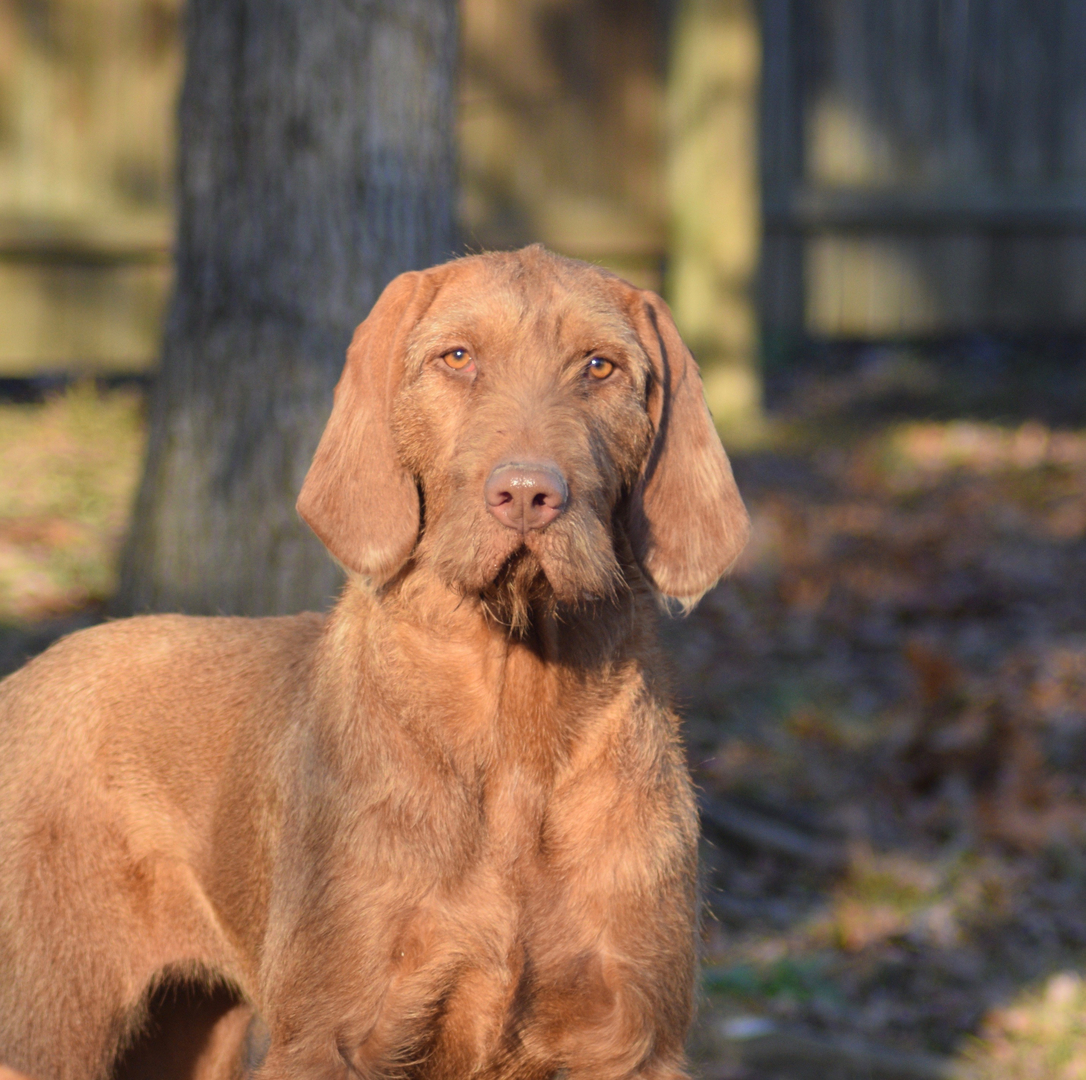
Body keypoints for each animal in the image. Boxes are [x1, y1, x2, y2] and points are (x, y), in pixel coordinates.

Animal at [0, 246, 747, 1077]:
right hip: (45, 1021)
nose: (527, 494)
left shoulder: (629, 1041)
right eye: (457, 357)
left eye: (600, 366)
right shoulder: (332, 1034)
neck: (511, 727)